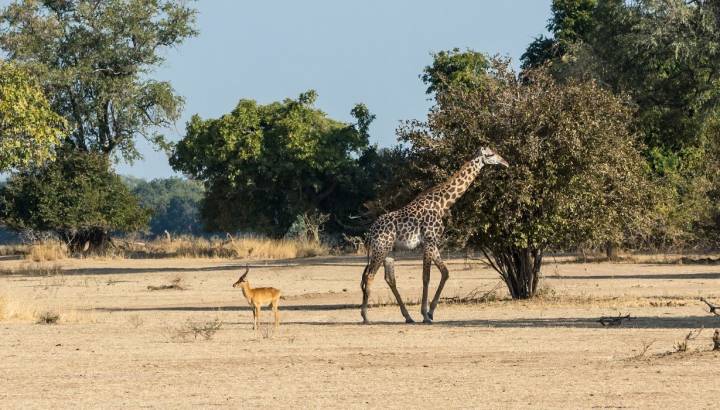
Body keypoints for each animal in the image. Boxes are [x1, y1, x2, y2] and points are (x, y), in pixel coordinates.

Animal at [360, 147, 509, 324]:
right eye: (491, 154)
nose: (505, 162)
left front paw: (430, 312)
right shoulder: (429, 240)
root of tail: (370, 232)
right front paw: (425, 315)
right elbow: (426, 277)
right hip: (381, 248)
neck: (442, 204)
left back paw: (408, 317)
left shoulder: (432, 243)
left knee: (389, 279)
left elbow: (445, 272)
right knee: (369, 276)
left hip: (389, 251)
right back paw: (365, 317)